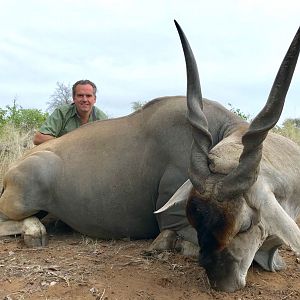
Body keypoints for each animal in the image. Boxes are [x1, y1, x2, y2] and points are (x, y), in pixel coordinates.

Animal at [0, 21, 298, 292]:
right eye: (194, 218)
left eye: (247, 225)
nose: (221, 282)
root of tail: (13, 169)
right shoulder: (172, 220)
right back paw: (35, 232)